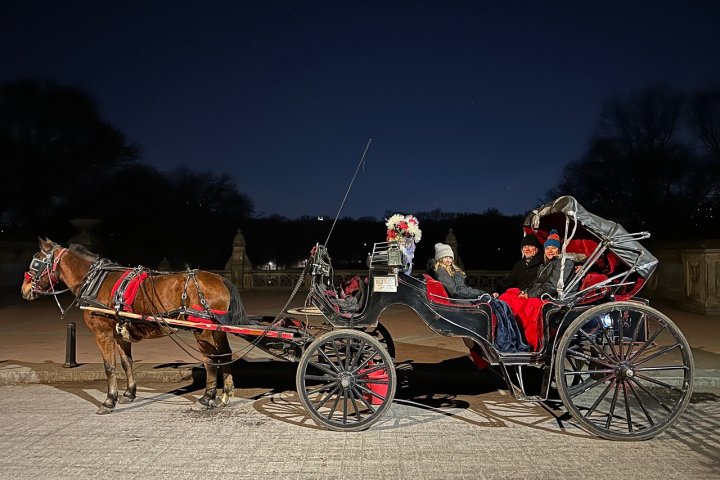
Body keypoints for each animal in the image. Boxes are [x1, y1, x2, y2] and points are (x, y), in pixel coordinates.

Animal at [21, 238, 246, 414]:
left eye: (36, 262)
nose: (24, 289)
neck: (96, 281)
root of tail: (222, 279)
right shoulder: (119, 333)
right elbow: (126, 363)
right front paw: (129, 393)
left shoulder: (102, 332)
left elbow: (109, 366)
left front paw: (109, 400)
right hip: (218, 330)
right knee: (225, 354)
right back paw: (225, 394)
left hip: (203, 330)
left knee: (211, 359)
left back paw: (207, 397)